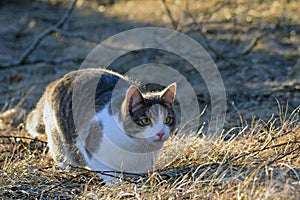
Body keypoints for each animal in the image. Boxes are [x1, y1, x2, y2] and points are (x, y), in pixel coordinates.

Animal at [25, 68, 177, 183]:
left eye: (167, 120)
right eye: (145, 121)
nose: (161, 133)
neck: (137, 148)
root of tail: (54, 83)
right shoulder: (87, 143)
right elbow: (106, 170)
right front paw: (118, 184)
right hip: (58, 131)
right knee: (60, 151)